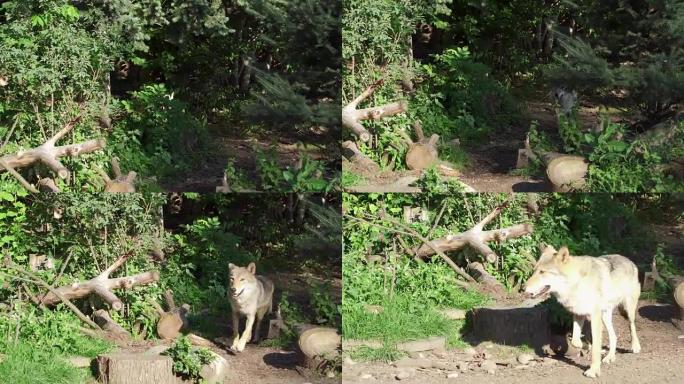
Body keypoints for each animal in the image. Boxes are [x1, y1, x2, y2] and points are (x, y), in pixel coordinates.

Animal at [524, 246, 640, 378]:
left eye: (542, 272)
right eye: (534, 271)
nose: (523, 288)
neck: (576, 282)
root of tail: (629, 260)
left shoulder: (595, 317)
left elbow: (595, 348)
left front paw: (594, 370)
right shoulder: (579, 314)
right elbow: (575, 341)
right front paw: (586, 346)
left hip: (627, 310)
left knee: (632, 326)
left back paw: (635, 346)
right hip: (605, 316)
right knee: (614, 336)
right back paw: (610, 357)